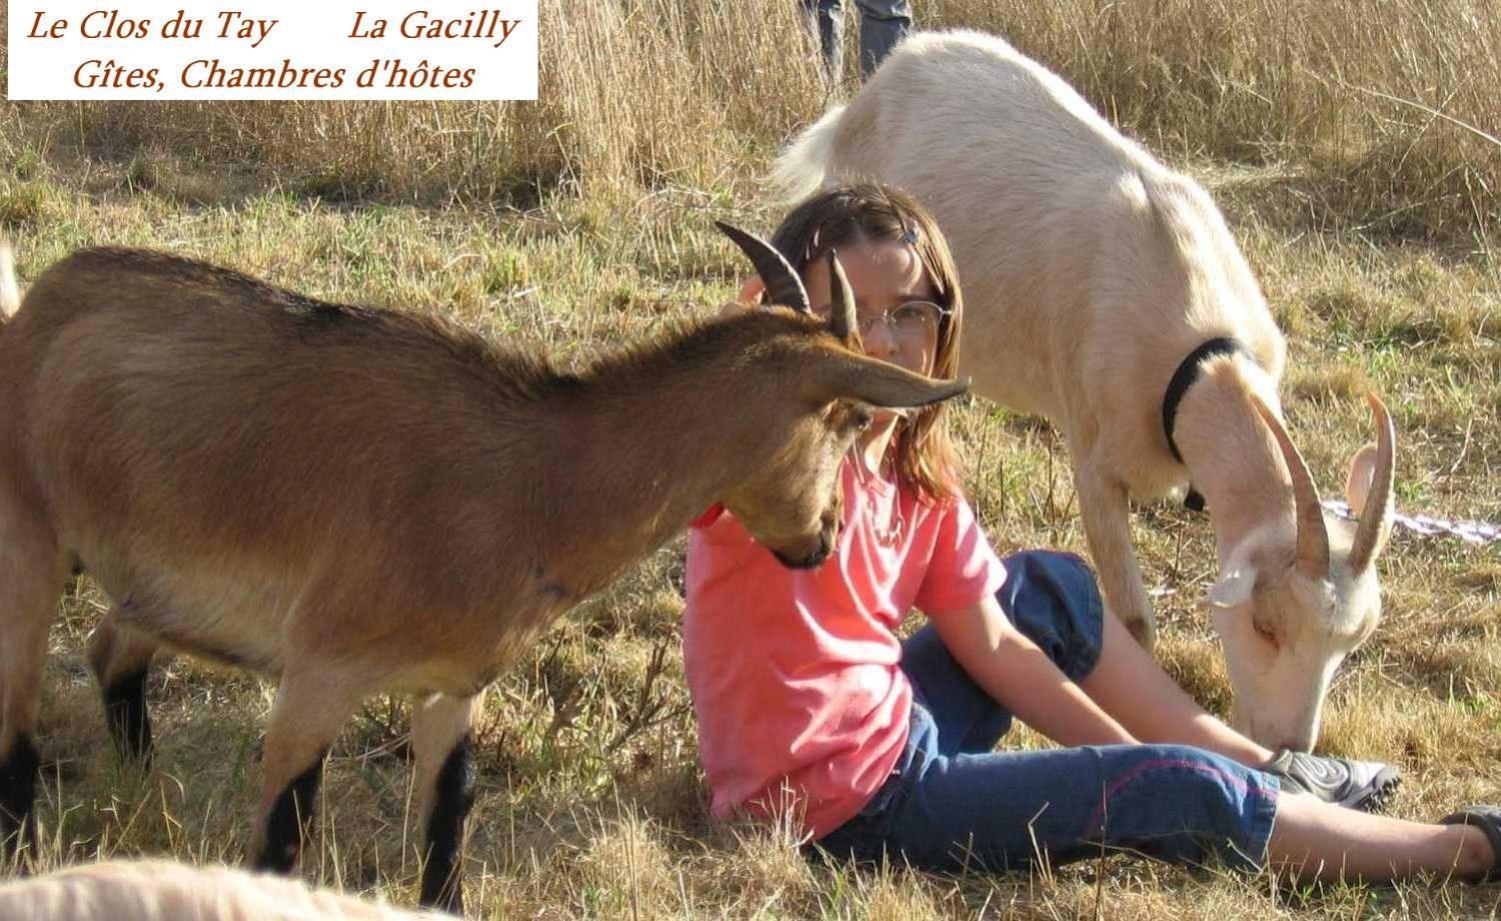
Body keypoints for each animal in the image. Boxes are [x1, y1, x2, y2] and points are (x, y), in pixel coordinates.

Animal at [0, 232, 960, 918]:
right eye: (854, 416)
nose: (822, 541)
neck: (537, 483)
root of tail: (33, 310)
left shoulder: (452, 683)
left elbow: (449, 810)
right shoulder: (320, 670)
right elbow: (284, 830)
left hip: (148, 580)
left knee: (112, 649)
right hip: (28, 546)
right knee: (19, 722)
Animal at [774, 28, 1392, 753]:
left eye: (1352, 642)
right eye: (1265, 625)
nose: (1288, 743)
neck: (1196, 352)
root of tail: (892, 70)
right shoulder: (1096, 462)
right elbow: (1132, 622)